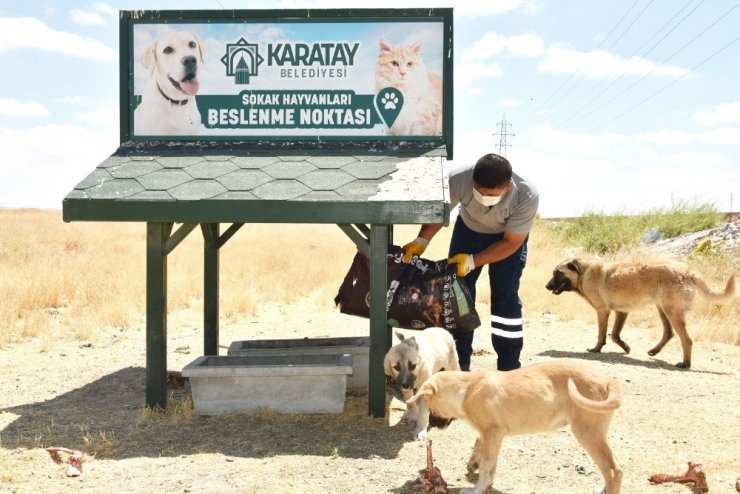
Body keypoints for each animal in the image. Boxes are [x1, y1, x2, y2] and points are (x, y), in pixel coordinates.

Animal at [544, 258, 736, 366]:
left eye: (558, 273)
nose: (547, 286)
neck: (584, 272)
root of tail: (689, 272)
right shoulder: (621, 312)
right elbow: (614, 335)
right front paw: (626, 347)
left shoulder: (602, 311)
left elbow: (602, 335)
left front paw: (596, 349)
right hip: (663, 309)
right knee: (669, 333)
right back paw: (655, 351)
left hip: (671, 312)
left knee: (686, 340)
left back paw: (685, 363)